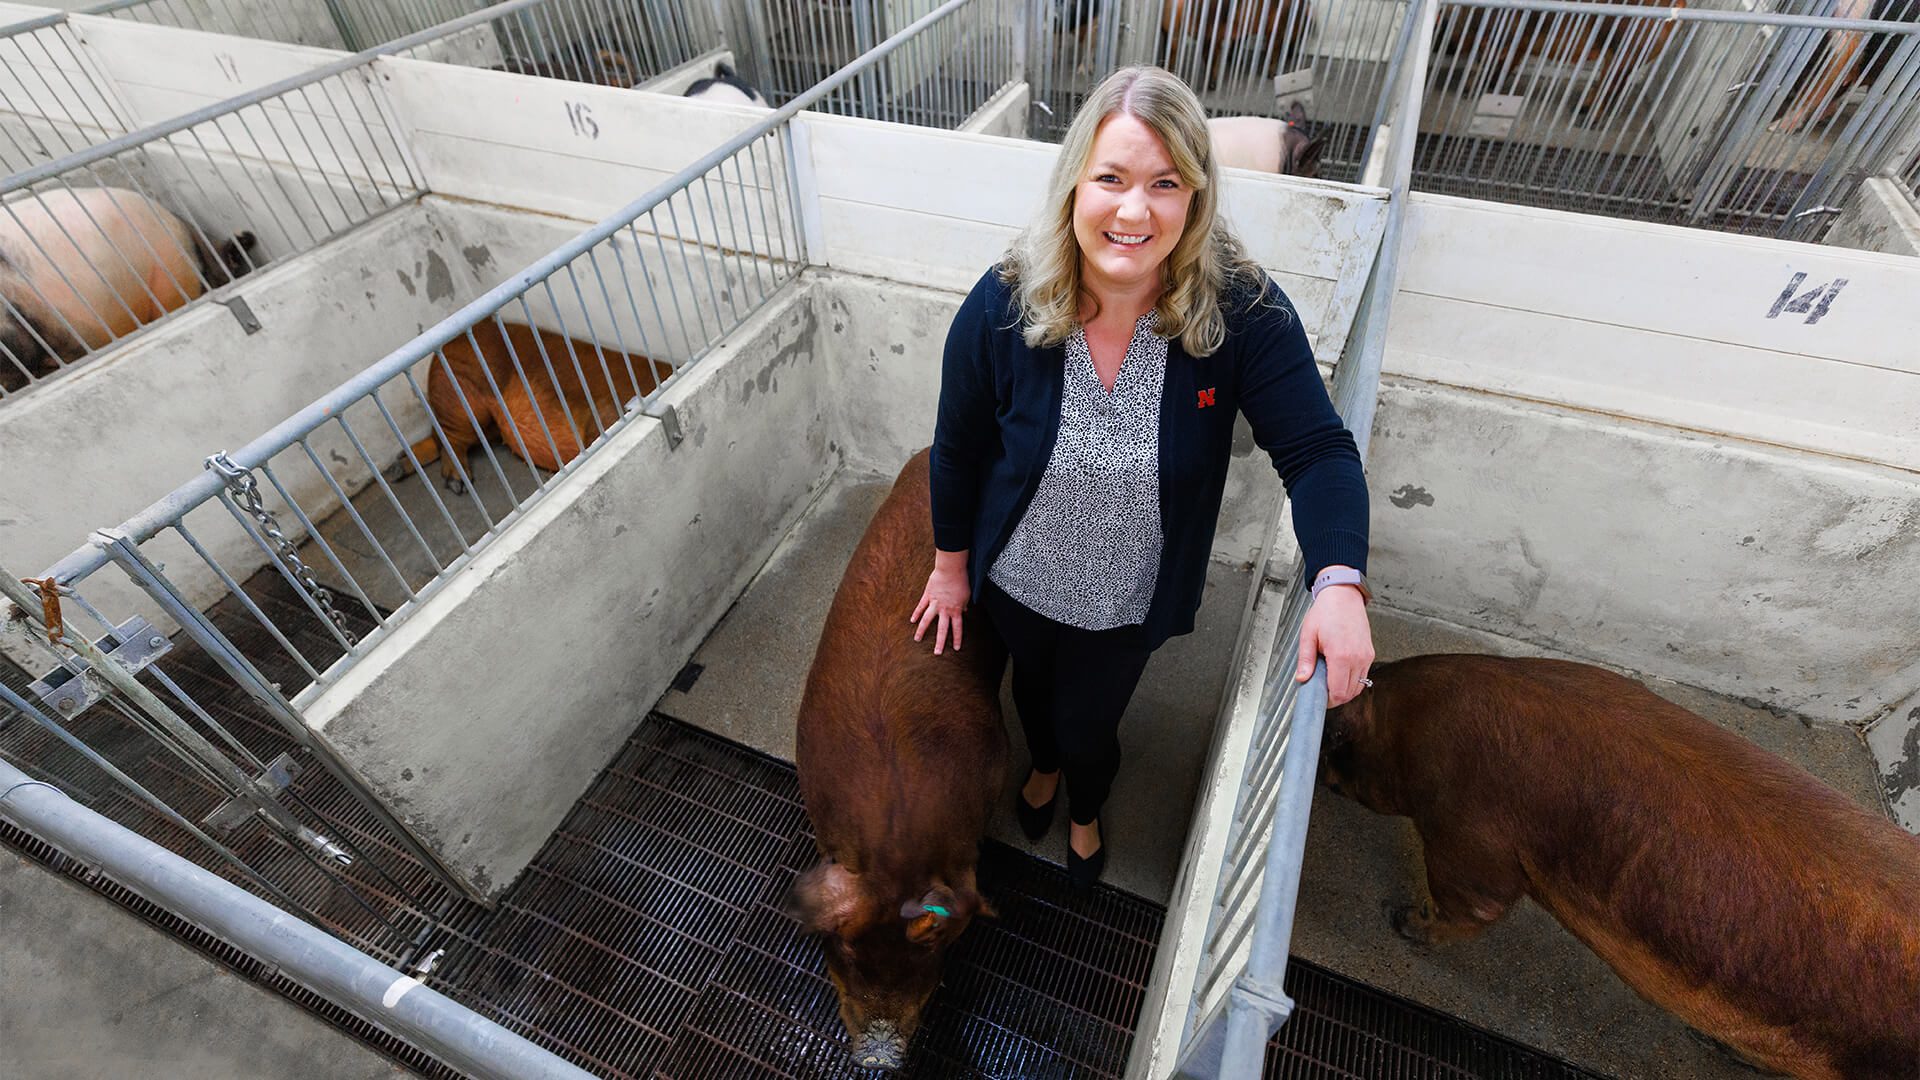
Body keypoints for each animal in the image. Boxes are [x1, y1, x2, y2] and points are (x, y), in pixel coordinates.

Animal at [1328, 645, 1920, 1076]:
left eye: (1341, 745)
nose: (1326, 780)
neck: (1410, 728)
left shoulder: (1469, 832)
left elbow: (1476, 906)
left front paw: (1403, 921)